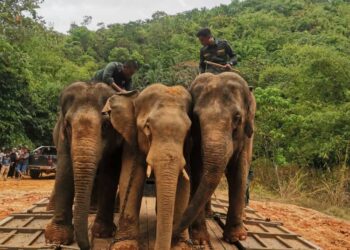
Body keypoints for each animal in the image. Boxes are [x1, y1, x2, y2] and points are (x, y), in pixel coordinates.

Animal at [43, 82, 131, 250]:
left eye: (105, 125)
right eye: (68, 125)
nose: (90, 244)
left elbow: (109, 173)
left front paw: (102, 233)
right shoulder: (63, 139)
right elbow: (64, 170)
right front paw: (56, 239)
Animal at [104, 84, 193, 250]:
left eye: (188, 131)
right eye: (147, 128)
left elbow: (184, 185)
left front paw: (182, 245)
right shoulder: (132, 141)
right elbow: (131, 178)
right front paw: (124, 245)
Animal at [174, 72, 256, 246]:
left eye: (237, 117)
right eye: (196, 117)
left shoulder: (246, 138)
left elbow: (239, 172)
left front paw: (237, 237)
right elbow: (197, 170)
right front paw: (199, 240)